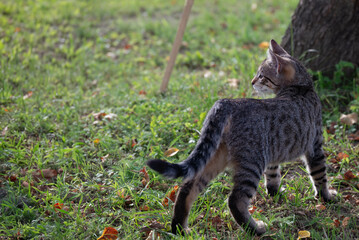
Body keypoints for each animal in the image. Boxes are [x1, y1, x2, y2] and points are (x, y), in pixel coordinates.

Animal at [147, 39, 338, 236]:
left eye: (261, 76)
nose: (252, 82)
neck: (301, 88)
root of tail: (228, 102)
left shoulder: (273, 153)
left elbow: (273, 175)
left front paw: (274, 193)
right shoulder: (315, 146)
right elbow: (319, 174)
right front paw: (326, 197)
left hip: (216, 156)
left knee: (187, 186)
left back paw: (179, 228)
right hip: (251, 163)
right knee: (235, 199)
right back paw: (255, 229)